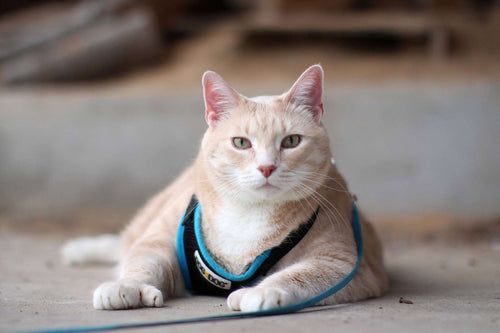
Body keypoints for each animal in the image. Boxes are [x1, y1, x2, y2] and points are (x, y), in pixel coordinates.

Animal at [62, 65, 388, 312]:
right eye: (241, 143)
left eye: (292, 141)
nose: (266, 167)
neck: (249, 213)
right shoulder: (159, 239)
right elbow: (143, 262)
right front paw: (126, 287)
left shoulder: (344, 265)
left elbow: (299, 275)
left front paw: (260, 292)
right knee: (124, 245)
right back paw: (79, 250)